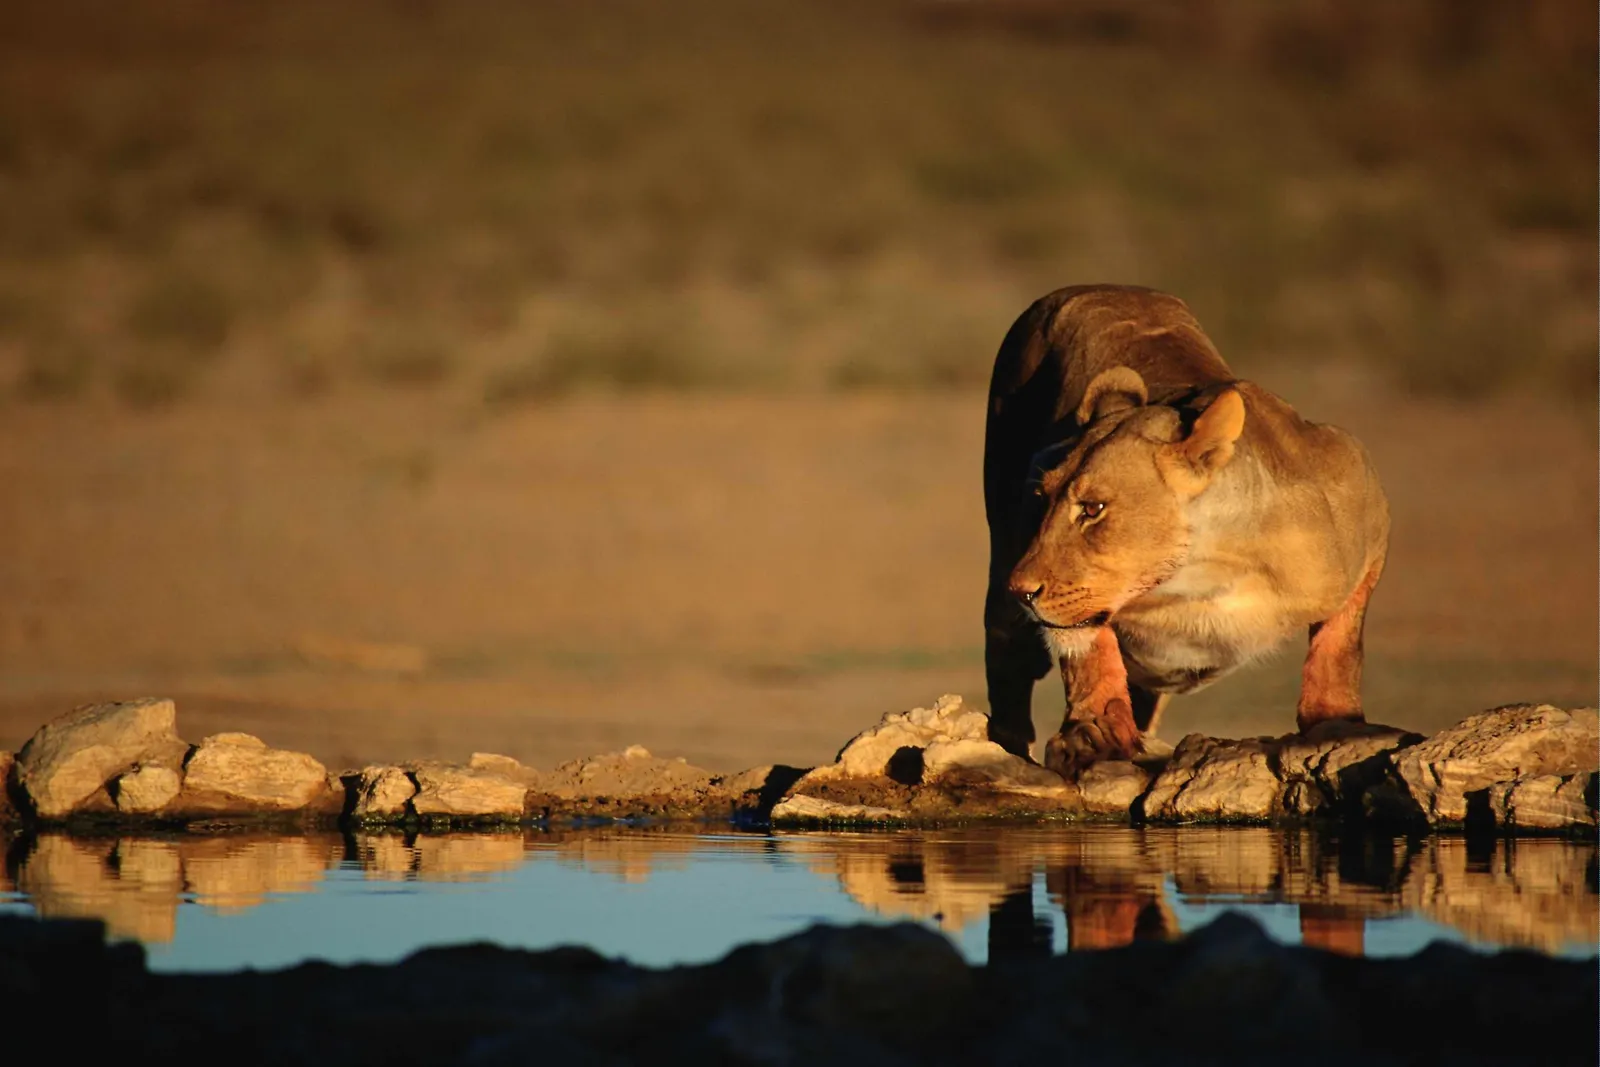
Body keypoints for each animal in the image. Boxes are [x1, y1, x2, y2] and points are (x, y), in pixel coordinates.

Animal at [983, 285, 1389, 778]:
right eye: (1043, 498)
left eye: (1093, 509)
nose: (1021, 590)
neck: (1198, 577)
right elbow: (1089, 649)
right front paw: (1092, 734)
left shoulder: (1362, 499)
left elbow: (1341, 642)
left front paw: (1336, 720)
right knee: (1006, 661)